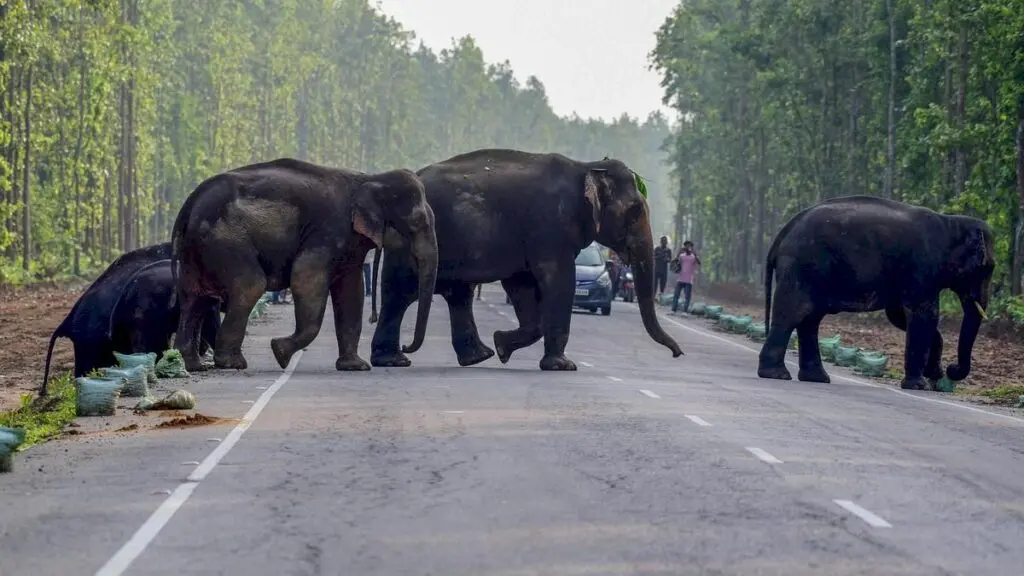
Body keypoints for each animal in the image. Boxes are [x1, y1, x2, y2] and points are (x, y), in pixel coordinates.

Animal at [170, 157, 439, 373]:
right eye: (417, 222)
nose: (405, 346)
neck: (370, 179)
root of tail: (189, 205)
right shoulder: (328, 230)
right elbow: (306, 277)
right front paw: (279, 351)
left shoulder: (349, 242)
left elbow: (351, 291)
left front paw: (356, 367)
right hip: (226, 240)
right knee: (249, 285)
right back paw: (232, 364)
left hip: (197, 252)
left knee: (195, 298)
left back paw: (195, 365)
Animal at [361, 148, 683, 372]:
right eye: (635, 211)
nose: (678, 353)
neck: (586, 166)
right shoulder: (549, 226)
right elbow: (559, 281)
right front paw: (562, 366)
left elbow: (523, 286)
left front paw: (502, 346)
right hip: (412, 240)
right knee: (403, 292)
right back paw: (400, 359)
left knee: (449, 294)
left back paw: (473, 356)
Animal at [756, 195, 995, 390]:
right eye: (987, 268)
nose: (951, 369)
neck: (951, 223)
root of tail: (783, 233)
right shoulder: (922, 267)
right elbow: (924, 314)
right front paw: (920, 386)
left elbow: (899, 315)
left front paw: (933, 375)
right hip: (801, 266)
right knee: (794, 312)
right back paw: (777, 375)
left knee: (810, 319)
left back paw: (816, 378)